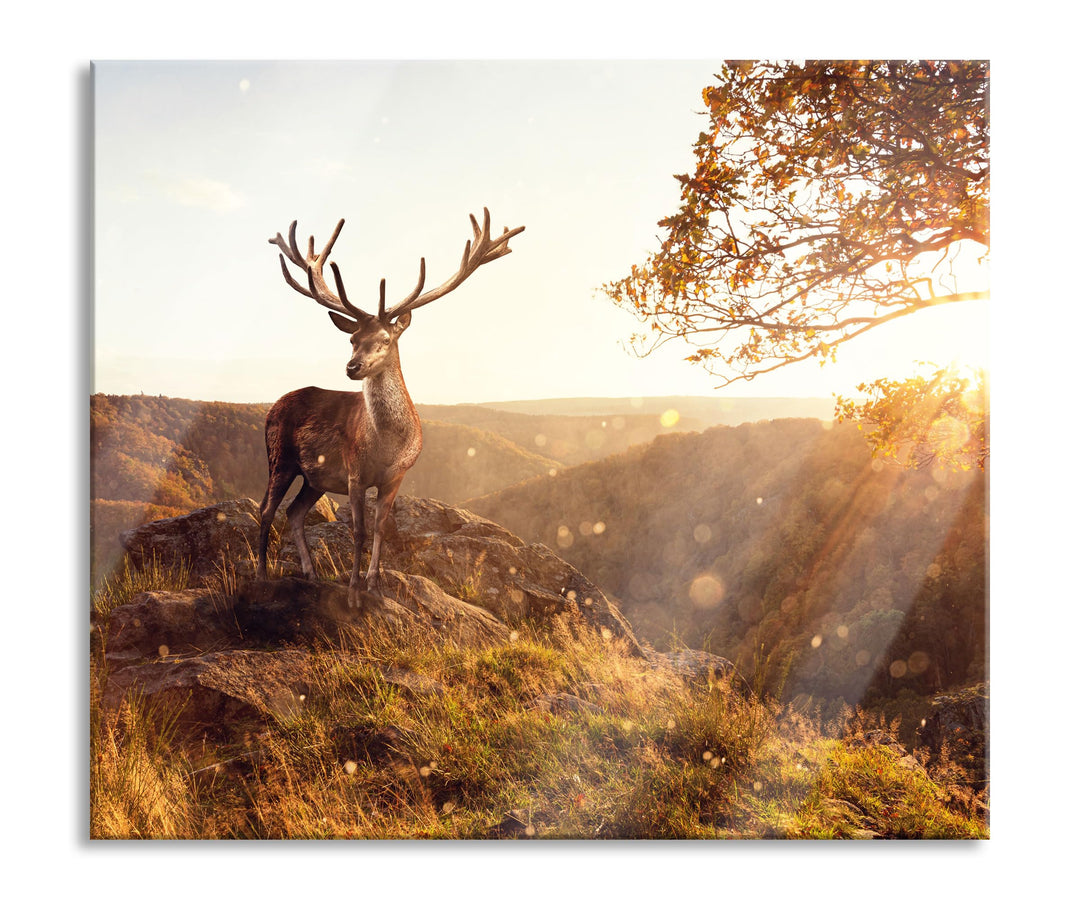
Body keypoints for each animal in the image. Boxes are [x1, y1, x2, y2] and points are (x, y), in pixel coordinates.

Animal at [256, 208, 525, 608]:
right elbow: (358, 531)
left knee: (294, 511)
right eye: (352, 339)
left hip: (315, 476)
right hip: (280, 456)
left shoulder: (397, 476)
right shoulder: (354, 472)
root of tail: (272, 408)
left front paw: (375, 586)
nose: (352, 367)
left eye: (385, 339)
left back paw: (310, 573)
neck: (387, 445)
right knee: (267, 509)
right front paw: (353, 593)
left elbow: (381, 529)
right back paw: (259, 575)